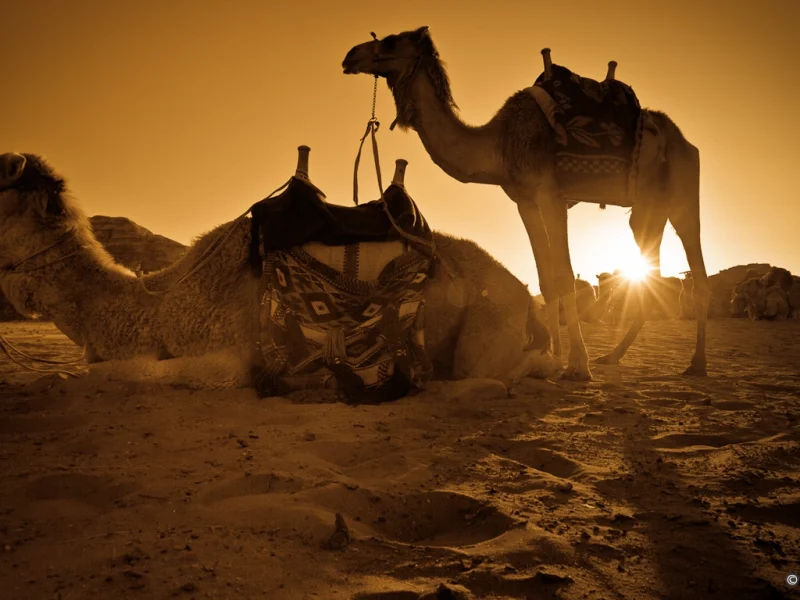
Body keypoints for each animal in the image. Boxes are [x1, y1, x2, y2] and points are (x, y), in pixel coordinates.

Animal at [0, 152, 560, 392]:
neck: (158, 307)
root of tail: (522, 291)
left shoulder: (229, 355)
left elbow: (111, 371)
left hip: (489, 328)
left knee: (492, 371)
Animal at [340, 27, 708, 380]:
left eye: (389, 41)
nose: (350, 55)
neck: (500, 144)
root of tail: (685, 140)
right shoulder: (524, 199)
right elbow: (546, 279)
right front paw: (555, 356)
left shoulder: (550, 193)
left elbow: (563, 275)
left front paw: (578, 366)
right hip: (648, 209)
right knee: (650, 271)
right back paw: (614, 356)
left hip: (683, 193)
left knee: (697, 267)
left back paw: (697, 363)